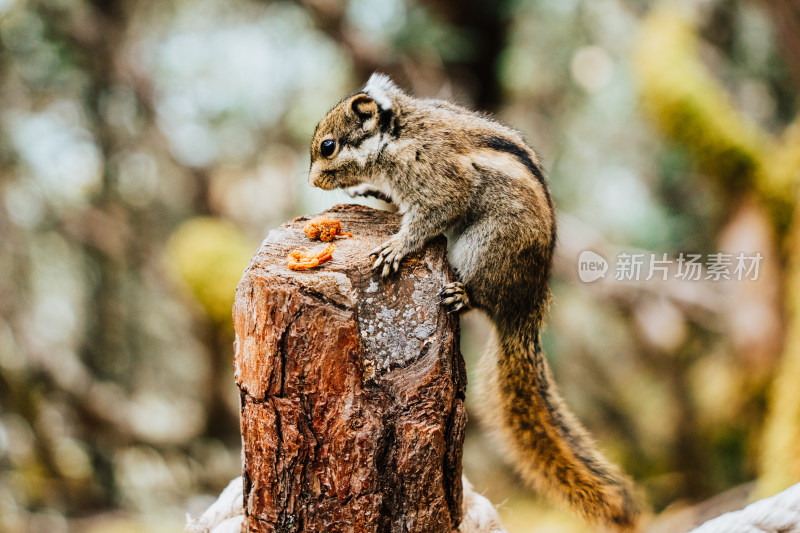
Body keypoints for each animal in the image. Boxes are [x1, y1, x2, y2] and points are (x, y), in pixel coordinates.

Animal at [310, 74, 640, 528]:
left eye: (328, 146)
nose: (312, 182)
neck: (397, 137)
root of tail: (528, 307)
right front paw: (366, 190)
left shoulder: (440, 182)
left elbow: (429, 217)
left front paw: (396, 246)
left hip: (482, 249)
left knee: (477, 297)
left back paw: (461, 293)